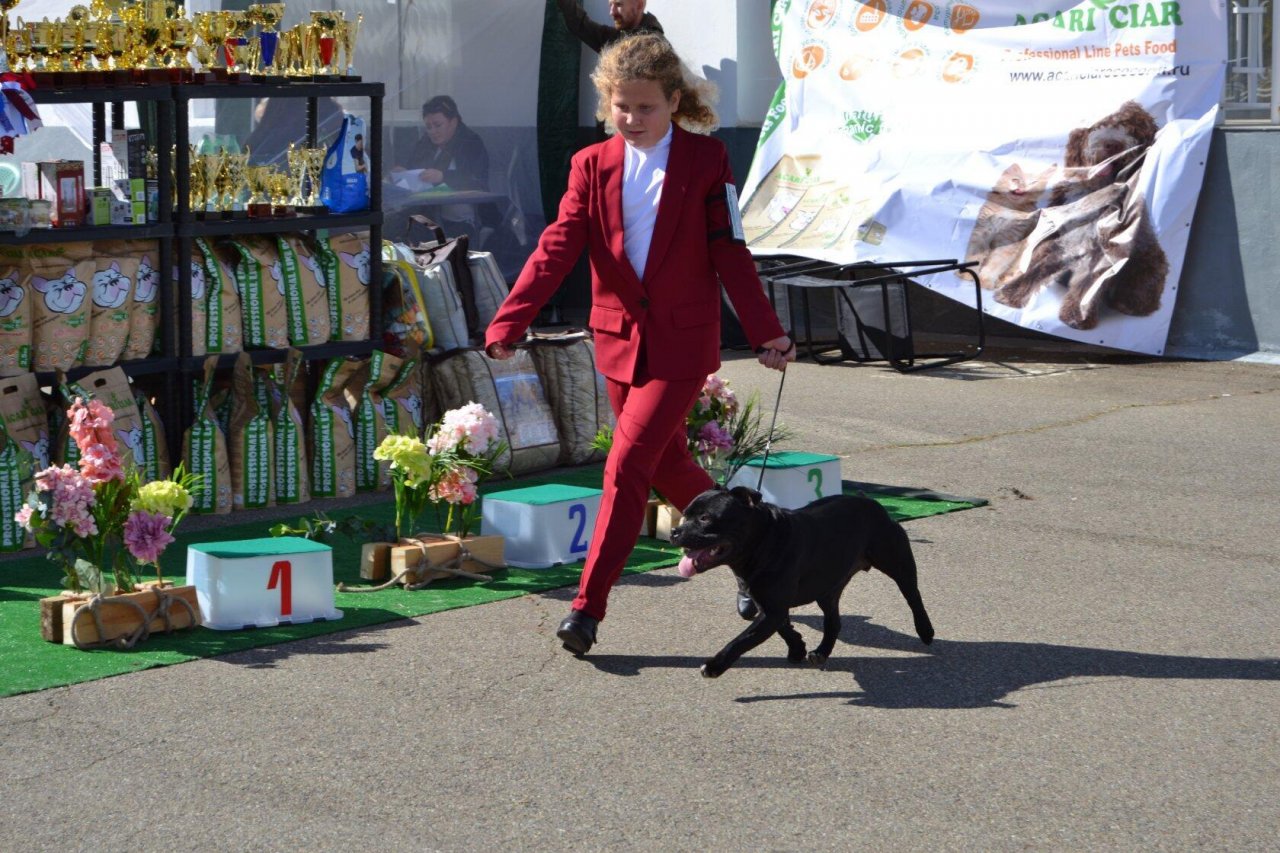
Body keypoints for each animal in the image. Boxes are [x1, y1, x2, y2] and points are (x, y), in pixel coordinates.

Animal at [671, 486, 934, 678]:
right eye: (685, 514)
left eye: (705, 518)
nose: (674, 531)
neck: (763, 541)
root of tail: (871, 502)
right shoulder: (770, 605)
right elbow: (783, 627)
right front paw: (797, 647)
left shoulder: (773, 608)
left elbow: (743, 640)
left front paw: (715, 665)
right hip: (828, 587)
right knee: (833, 621)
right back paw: (821, 652)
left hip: (897, 563)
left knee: (913, 595)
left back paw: (925, 630)